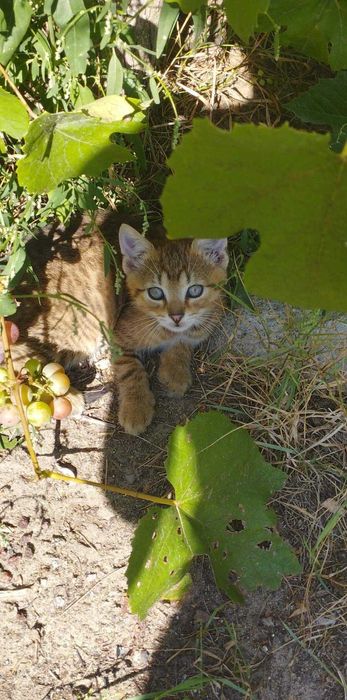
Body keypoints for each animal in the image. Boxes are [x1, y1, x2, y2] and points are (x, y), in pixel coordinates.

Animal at [10, 216, 230, 434]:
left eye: (195, 290)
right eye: (155, 293)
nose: (176, 316)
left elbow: (183, 342)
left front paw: (175, 371)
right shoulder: (116, 336)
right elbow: (131, 368)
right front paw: (136, 408)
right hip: (84, 325)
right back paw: (66, 397)